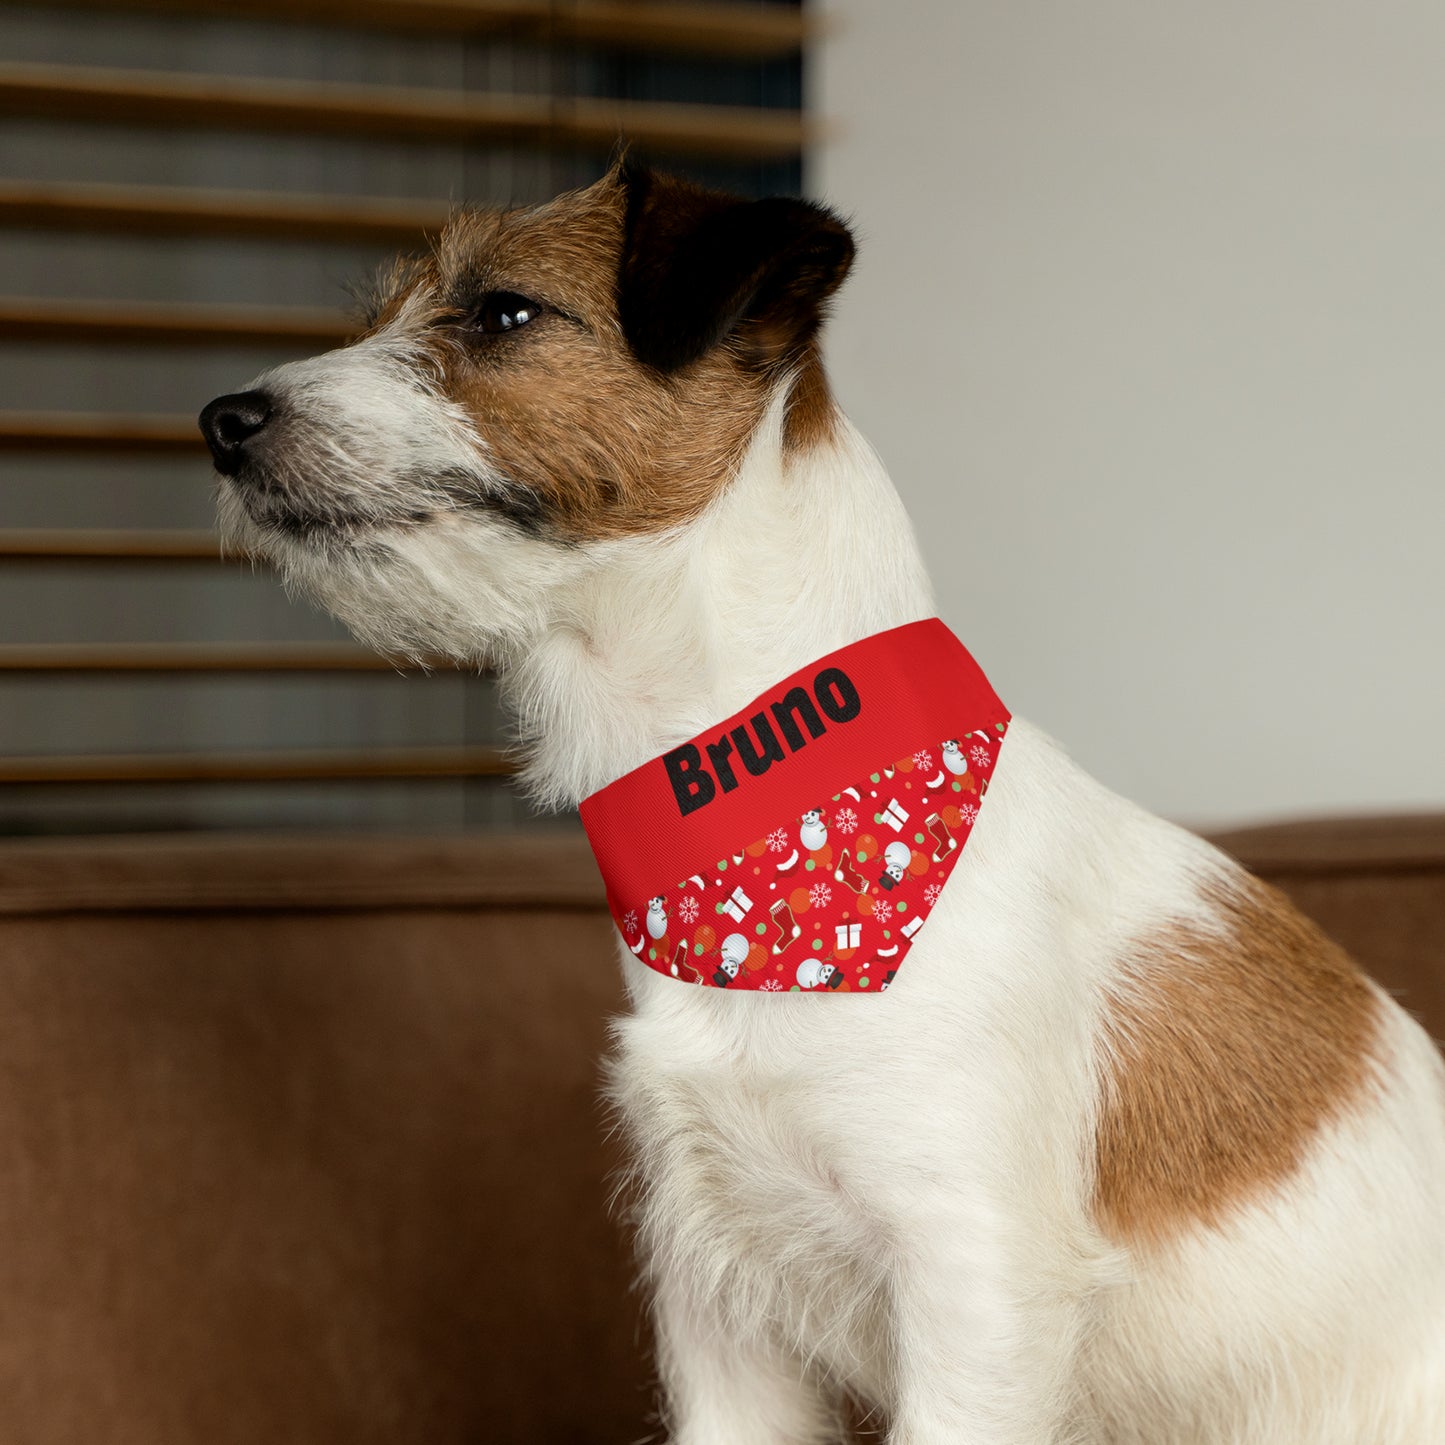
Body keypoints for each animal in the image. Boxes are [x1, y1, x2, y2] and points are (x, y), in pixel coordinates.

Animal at [200, 164, 1445, 1439]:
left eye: (503, 311)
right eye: (380, 314)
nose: (222, 421)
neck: (768, 842)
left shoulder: (973, 1291)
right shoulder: (717, 1306)